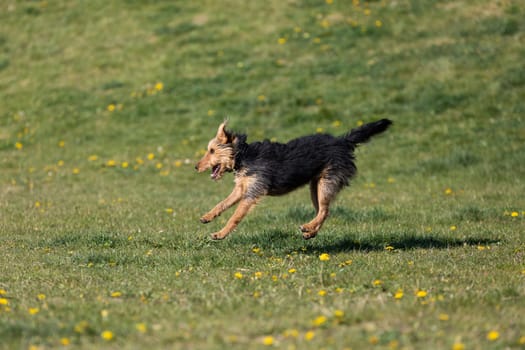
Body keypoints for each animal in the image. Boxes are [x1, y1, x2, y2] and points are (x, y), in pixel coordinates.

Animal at [194, 119, 390, 239]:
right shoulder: (242, 188)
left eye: (212, 151)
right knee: (323, 211)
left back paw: (308, 227)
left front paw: (220, 234)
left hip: (326, 183)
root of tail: (343, 141)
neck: (243, 155)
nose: (195, 167)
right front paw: (208, 216)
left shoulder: (252, 192)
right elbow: (222, 203)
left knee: (324, 210)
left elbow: (234, 217)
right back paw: (310, 232)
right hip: (315, 187)